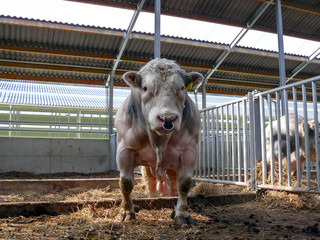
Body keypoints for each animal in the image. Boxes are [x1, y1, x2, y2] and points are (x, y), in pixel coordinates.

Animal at [115, 58, 202, 225]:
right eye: (145, 88)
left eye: (182, 88)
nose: (167, 119)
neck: (159, 141)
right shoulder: (124, 150)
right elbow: (126, 183)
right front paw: (126, 212)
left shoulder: (190, 151)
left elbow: (184, 184)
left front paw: (182, 214)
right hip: (145, 167)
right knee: (149, 181)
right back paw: (152, 197)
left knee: (173, 181)